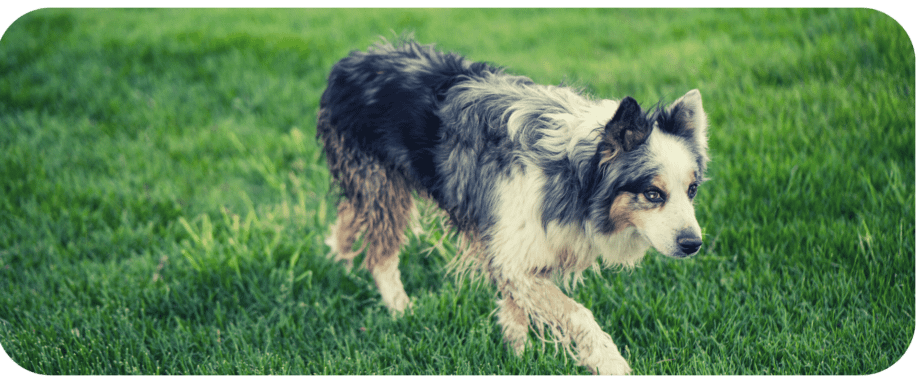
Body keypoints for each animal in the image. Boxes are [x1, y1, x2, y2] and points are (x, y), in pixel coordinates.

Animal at [316, 38, 712, 376]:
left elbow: (515, 310)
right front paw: (610, 363)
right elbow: (577, 314)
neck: (575, 173)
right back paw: (401, 310)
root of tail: (352, 59)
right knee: (380, 255)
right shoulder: (515, 255)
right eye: (653, 194)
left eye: (692, 189)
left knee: (348, 224)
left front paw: (516, 354)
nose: (693, 245)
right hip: (381, 186)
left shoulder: (518, 251)